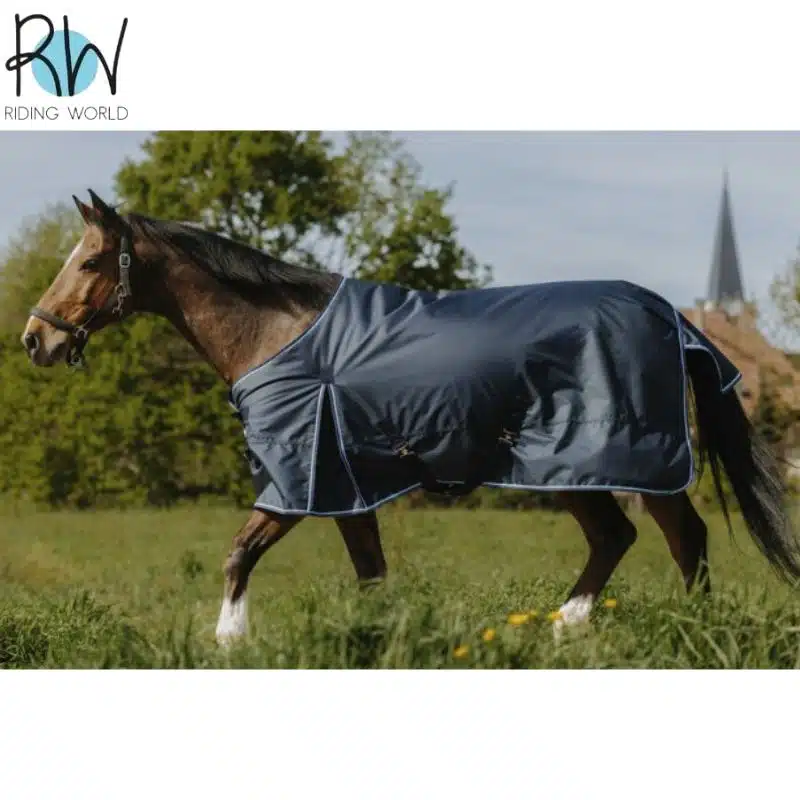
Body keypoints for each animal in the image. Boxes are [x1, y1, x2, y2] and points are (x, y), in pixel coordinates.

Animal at [21, 189, 800, 645]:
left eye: (89, 261)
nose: (36, 339)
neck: (281, 335)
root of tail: (667, 315)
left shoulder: (299, 479)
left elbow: (239, 553)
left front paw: (229, 641)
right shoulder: (346, 490)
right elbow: (371, 573)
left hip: (606, 462)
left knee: (657, 537)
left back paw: (629, 628)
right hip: (598, 467)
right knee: (647, 538)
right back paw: (587, 628)